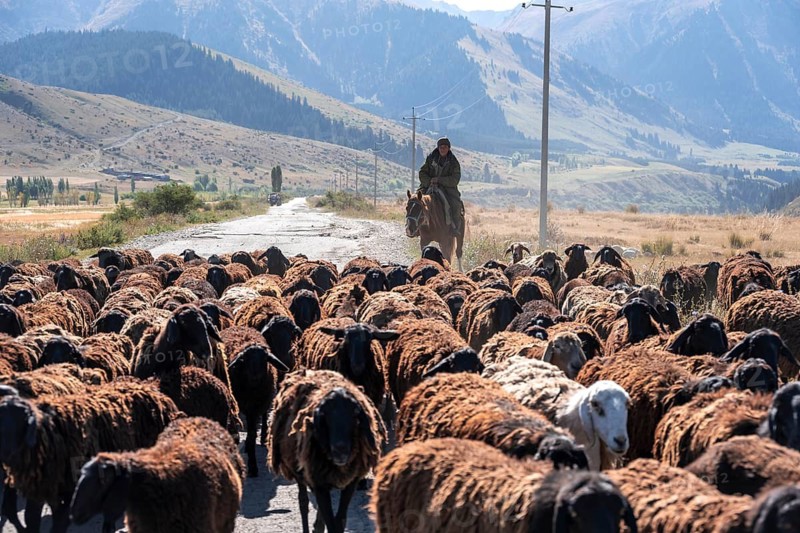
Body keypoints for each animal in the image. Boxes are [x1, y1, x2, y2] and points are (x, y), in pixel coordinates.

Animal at [268, 369, 385, 533]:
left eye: (354, 415)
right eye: (325, 417)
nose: (340, 450)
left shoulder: (351, 482)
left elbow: (340, 521)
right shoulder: (319, 483)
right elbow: (330, 522)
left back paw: (317, 526)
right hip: (300, 473)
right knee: (303, 503)